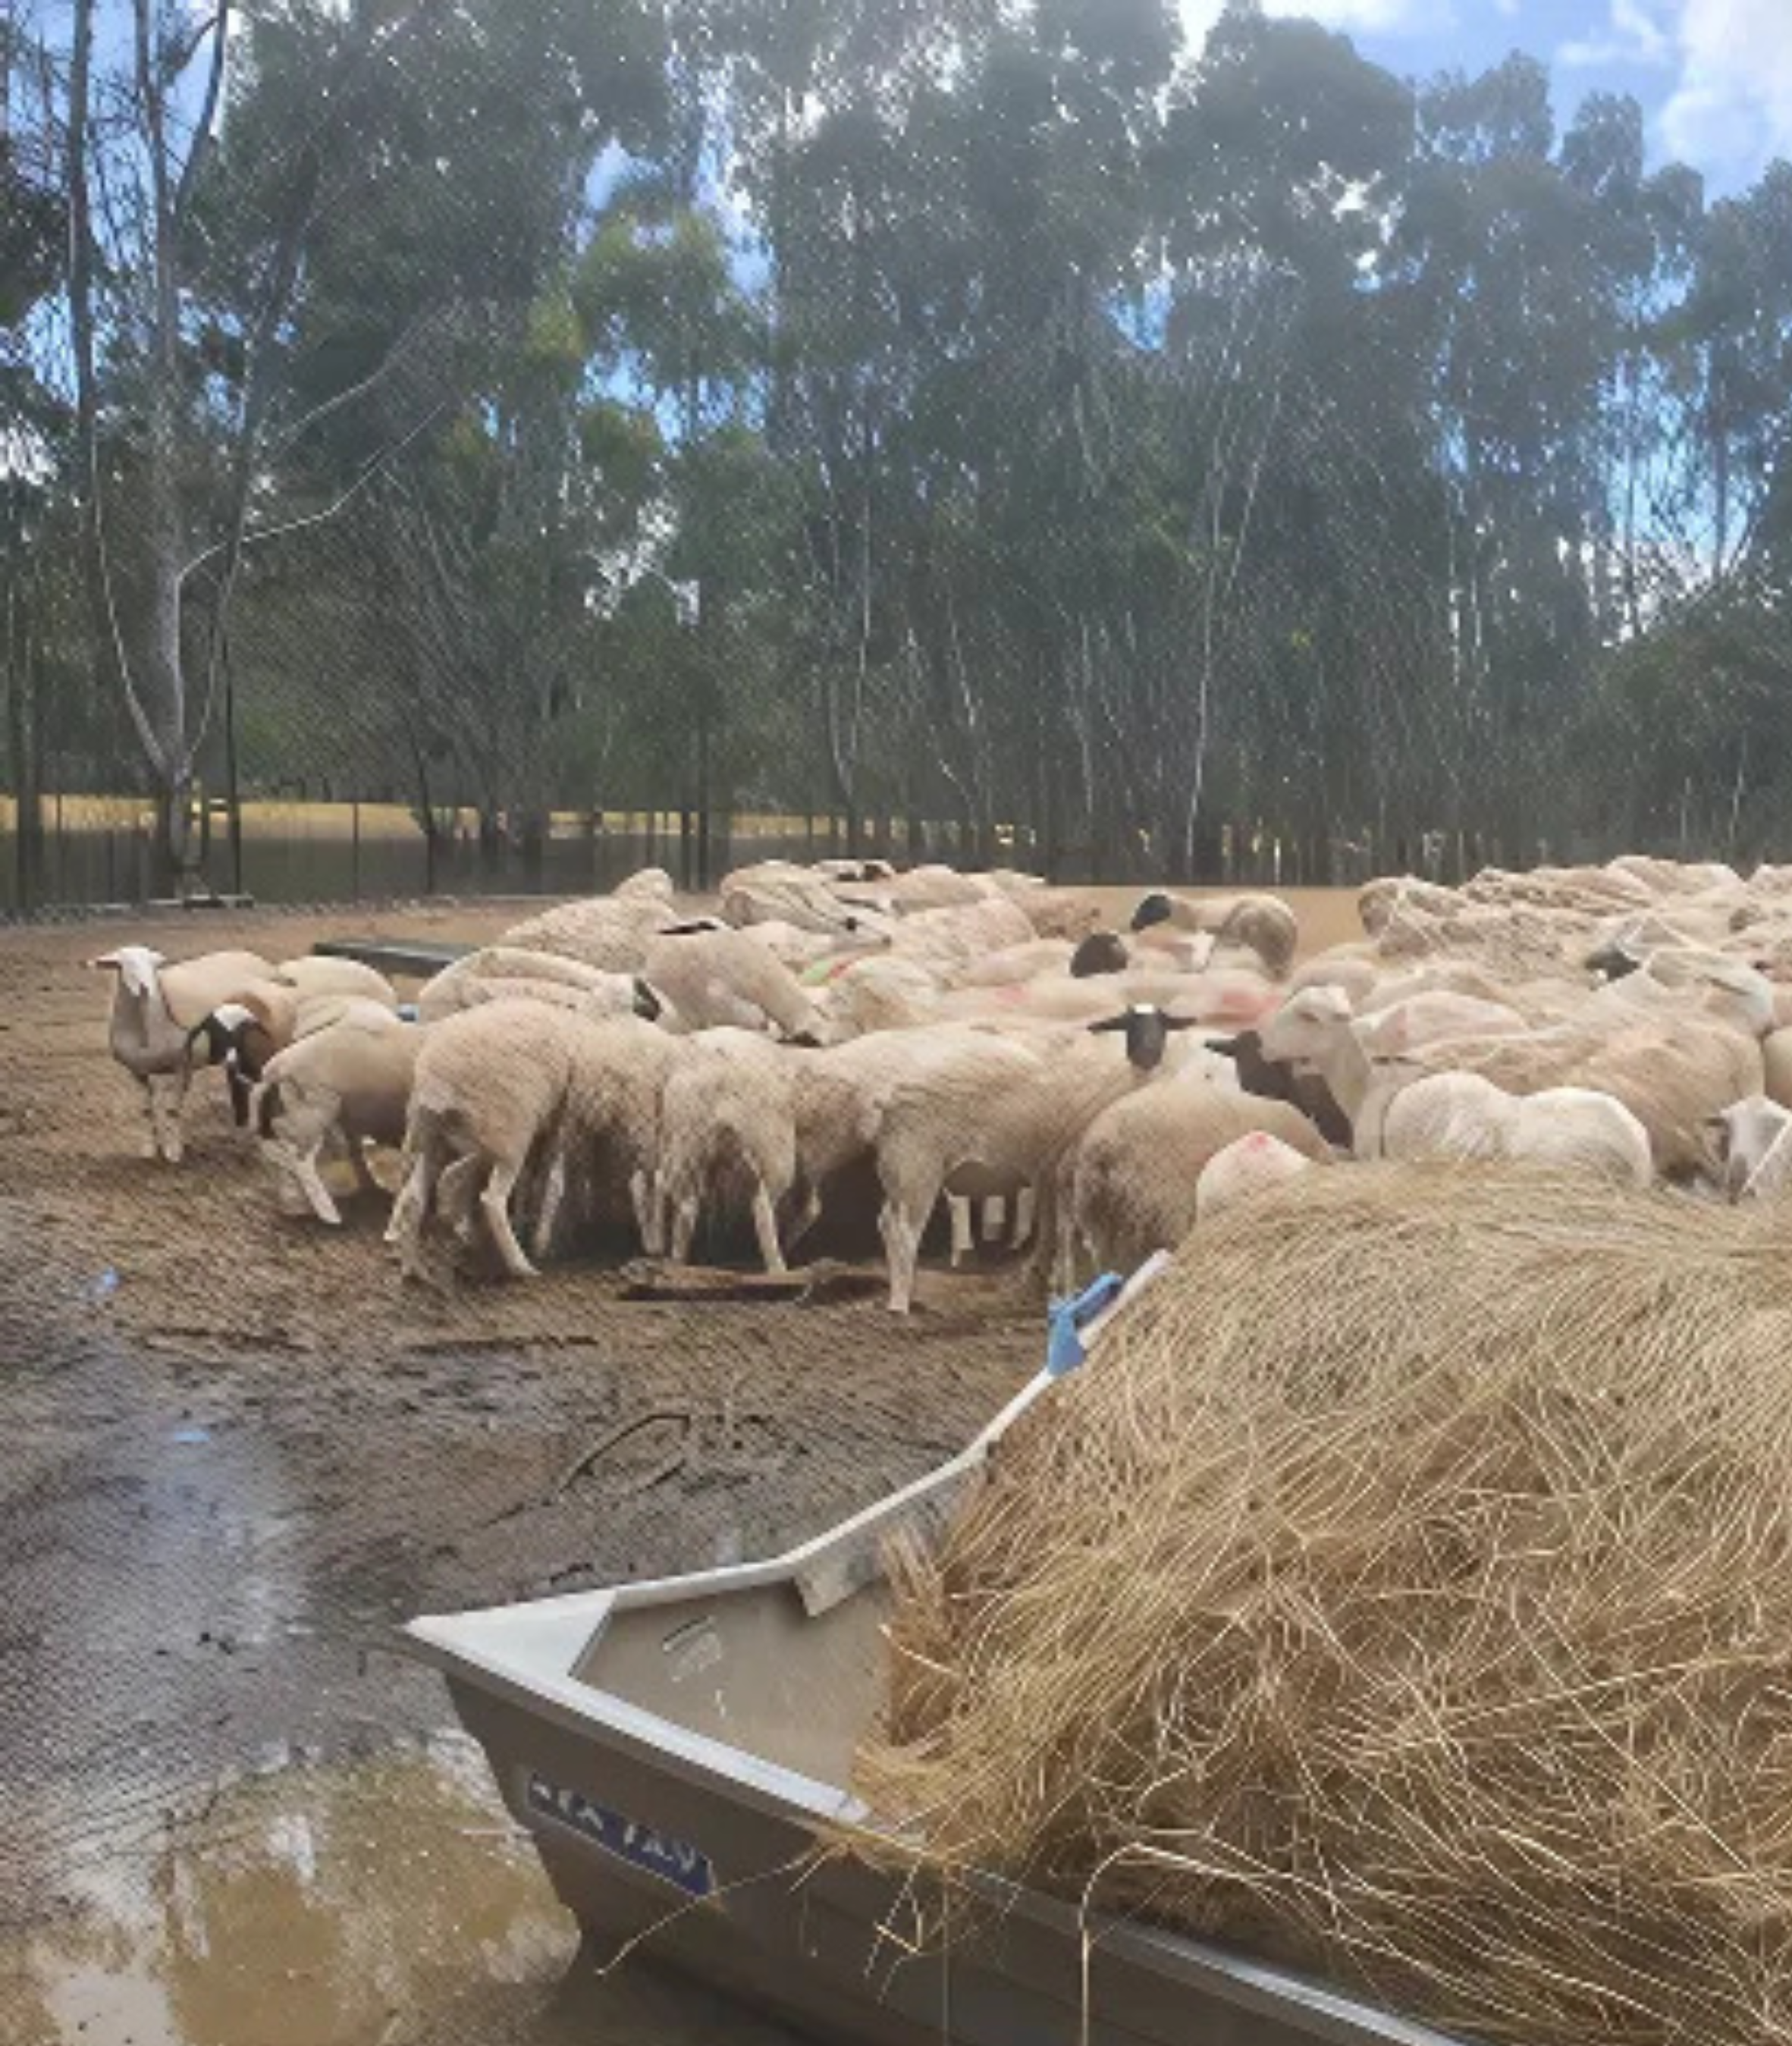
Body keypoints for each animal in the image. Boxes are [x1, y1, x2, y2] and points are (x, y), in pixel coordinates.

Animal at [92, 945, 276, 1162]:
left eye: (153, 965)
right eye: (125, 964)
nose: (147, 988)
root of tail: (252, 957)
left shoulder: (180, 1066)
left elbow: (172, 1111)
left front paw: (173, 1151)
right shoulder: (136, 1071)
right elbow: (146, 1110)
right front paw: (150, 1149)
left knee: (265, 1084)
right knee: (243, 1084)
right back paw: (241, 1130)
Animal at [253, 998, 425, 1219]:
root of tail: (278, 1064)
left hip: (309, 1104)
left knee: (283, 1141)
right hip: (318, 1105)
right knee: (294, 1146)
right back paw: (326, 1211)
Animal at [1129, 887, 1292, 974]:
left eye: (1148, 909)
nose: (1132, 925)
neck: (1193, 912)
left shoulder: (1207, 931)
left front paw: (1195, 967)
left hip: (1251, 920)